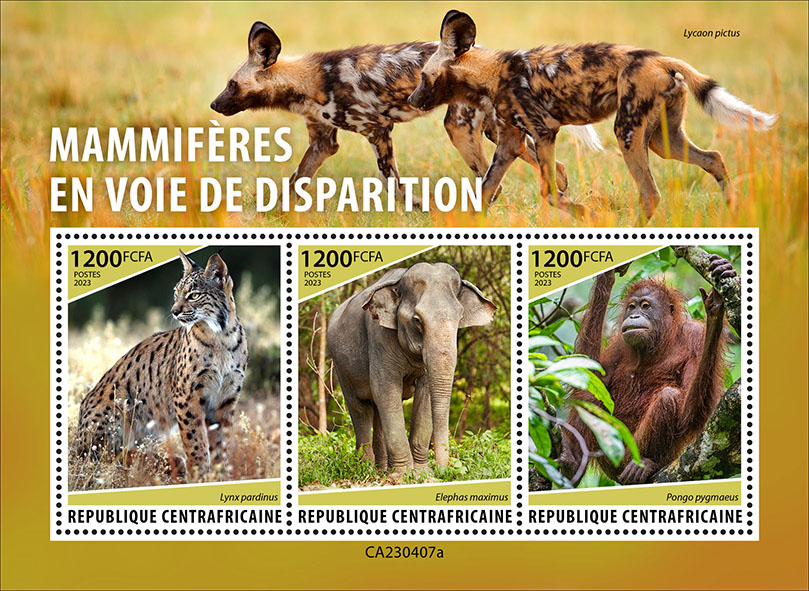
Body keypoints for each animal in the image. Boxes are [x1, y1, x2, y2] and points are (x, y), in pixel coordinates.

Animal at [326, 262, 496, 475]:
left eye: (460, 318)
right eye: (417, 320)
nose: (444, 470)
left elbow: (425, 395)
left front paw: (423, 474)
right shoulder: (379, 338)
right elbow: (386, 389)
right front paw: (404, 475)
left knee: (378, 411)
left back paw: (382, 470)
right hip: (342, 367)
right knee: (360, 409)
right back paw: (367, 469)